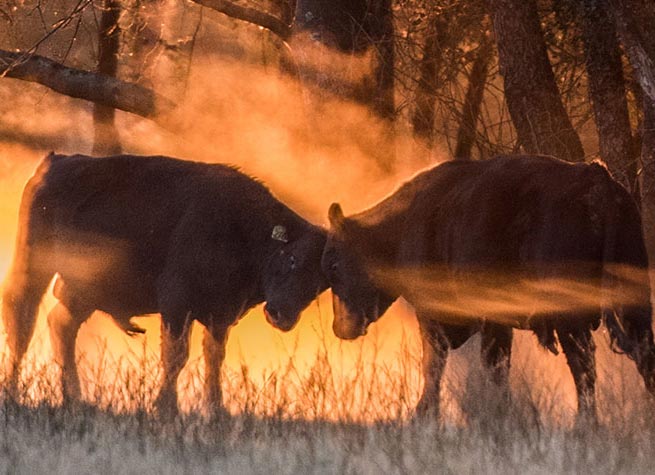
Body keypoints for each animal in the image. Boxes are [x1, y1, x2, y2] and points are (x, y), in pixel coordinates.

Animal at [0, 155, 328, 416]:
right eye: (292, 258)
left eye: (320, 283)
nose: (281, 315)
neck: (246, 228)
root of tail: (54, 163)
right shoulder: (176, 304)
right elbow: (176, 356)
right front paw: (167, 408)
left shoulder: (221, 315)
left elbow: (213, 357)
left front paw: (216, 409)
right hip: (33, 267)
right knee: (22, 323)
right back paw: (13, 393)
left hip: (84, 290)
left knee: (61, 324)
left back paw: (75, 399)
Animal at [322, 154, 655, 418]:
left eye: (334, 265)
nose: (340, 327)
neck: (405, 223)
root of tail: (597, 177)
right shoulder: (496, 322)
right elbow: (494, 368)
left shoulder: (438, 315)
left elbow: (438, 364)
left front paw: (425, 415)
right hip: (633, 307)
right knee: (643, 356)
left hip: (570, 316)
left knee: (584, 366)